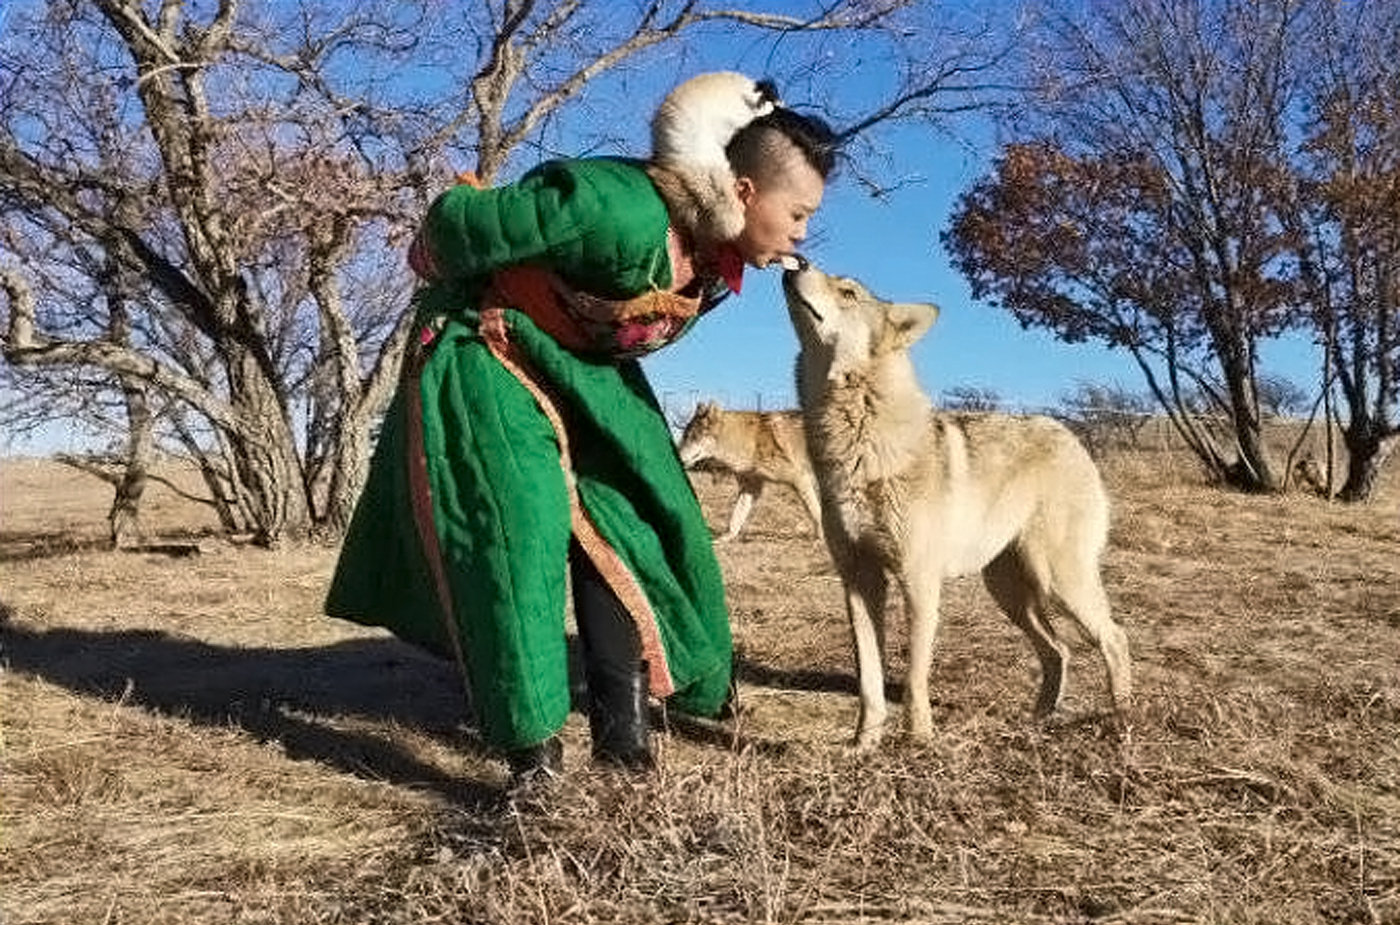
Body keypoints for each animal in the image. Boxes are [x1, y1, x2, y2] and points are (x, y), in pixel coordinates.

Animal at [674, 403, 817, 540]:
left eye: (692, 437)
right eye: (685, 436)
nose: (677, 456)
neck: (751, 442)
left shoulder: (800, 479)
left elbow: (815, 512)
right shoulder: (750, 488)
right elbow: (736, 517)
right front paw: (725, 538)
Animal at [784, 256, 1131, 744]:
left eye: (848, 292)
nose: (796, 262)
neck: (860, 437)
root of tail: (1068, 432)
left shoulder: (919, 582)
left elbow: (914, 676)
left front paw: (919, 741)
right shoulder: (858, 581)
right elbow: (869, 679)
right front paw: (864, 743)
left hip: (1058, 582)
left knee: (1115, 638)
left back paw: (1123, 720)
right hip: (1009, 593)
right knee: (1059, 650)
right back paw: (1037, 721)